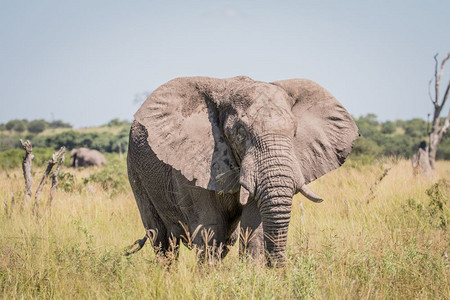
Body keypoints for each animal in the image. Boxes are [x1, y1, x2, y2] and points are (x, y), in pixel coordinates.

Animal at [127, 76, 358, 266]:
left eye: (294, 133)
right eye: (240, 132)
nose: (280, 270)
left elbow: (252, 228)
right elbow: (210, 229)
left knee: (226, 240)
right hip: (135, 171)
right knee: (161, 239)